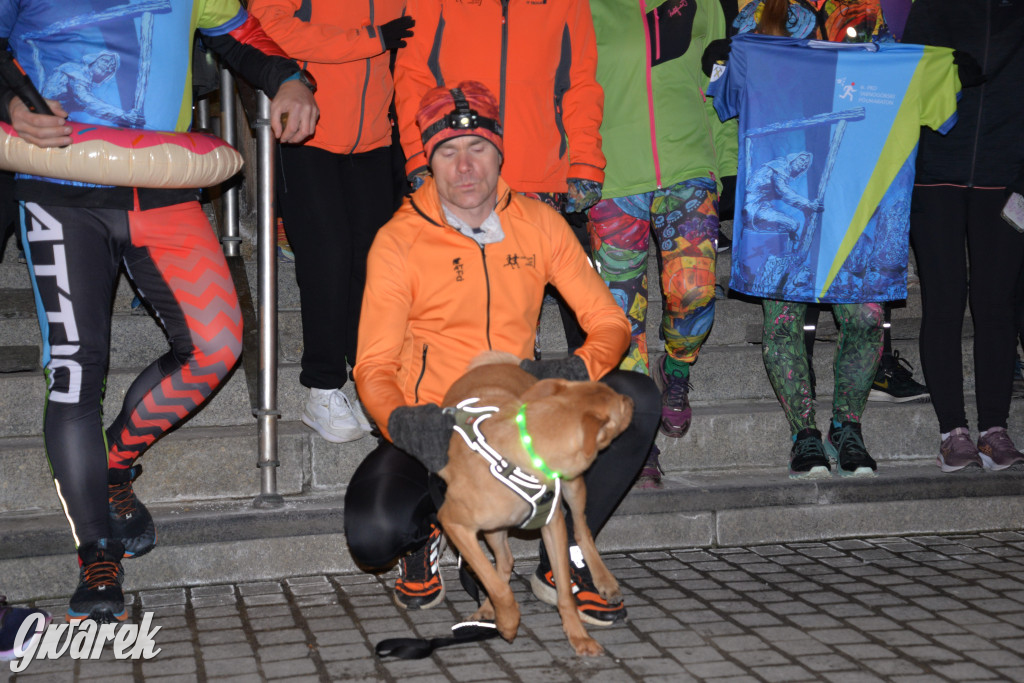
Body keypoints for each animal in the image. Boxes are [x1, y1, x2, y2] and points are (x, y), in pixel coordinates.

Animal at [438, 352, 634, 655]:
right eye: (619, 406)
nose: (631, 400)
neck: (523, 455)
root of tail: (496, 363)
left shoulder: (553, 525)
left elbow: (564, 590)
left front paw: (577, 635)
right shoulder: (453, 523)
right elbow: (493, 582)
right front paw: (507, 620)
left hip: (573, 487)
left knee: (582, 529)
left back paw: (604, 580)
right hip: (493, 528)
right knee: (504, 562)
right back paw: (489, 608)